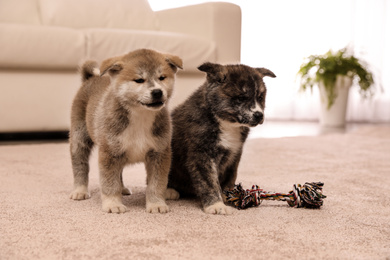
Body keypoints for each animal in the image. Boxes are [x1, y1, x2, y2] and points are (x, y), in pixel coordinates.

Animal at [166, 62, 276, 214]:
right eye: (241, 98)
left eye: (260, 97)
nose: (259, 115)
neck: (226, 123)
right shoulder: (201, 155)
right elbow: (209, 182)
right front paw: (216, 205)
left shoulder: (234, 154)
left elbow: (229, 178)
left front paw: (228, 196)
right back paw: (169, 191)